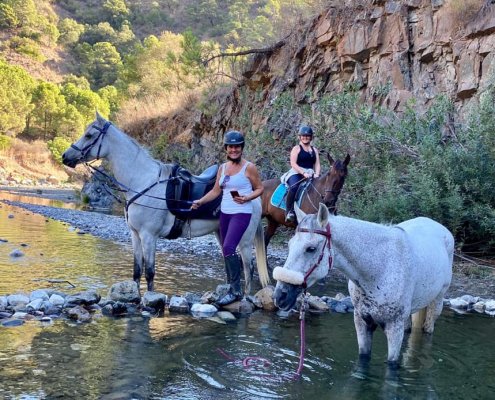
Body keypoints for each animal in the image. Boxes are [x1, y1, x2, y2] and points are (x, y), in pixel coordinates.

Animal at [64, 112, 272, 294]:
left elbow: (149, 273)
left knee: (248, 268)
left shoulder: (149, 236)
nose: (65, 157)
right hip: (221, 233)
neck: (141, 181)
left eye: (89, 135)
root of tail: (252, 196)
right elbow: (137, 271)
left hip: (245, 239)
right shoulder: (135, 235)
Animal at [274, 205, 456, 368]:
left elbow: (392, 366)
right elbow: (363, 360)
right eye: (289, 245)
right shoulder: (362, 322)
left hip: (436, 303)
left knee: (428, 329)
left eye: (311, 249)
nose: (280, 296)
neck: (380, 269)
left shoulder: (394, 328)